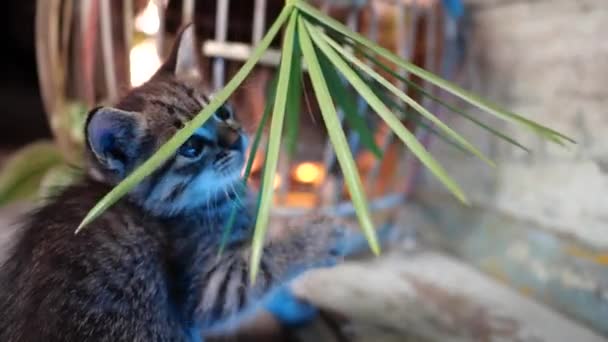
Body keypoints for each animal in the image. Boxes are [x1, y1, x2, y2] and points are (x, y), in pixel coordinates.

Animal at [0, 25, 350, 340]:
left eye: (222, 112)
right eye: (191, 148)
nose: (236, 140)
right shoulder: (210, 286)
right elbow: (261, 266)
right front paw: (320, 233)